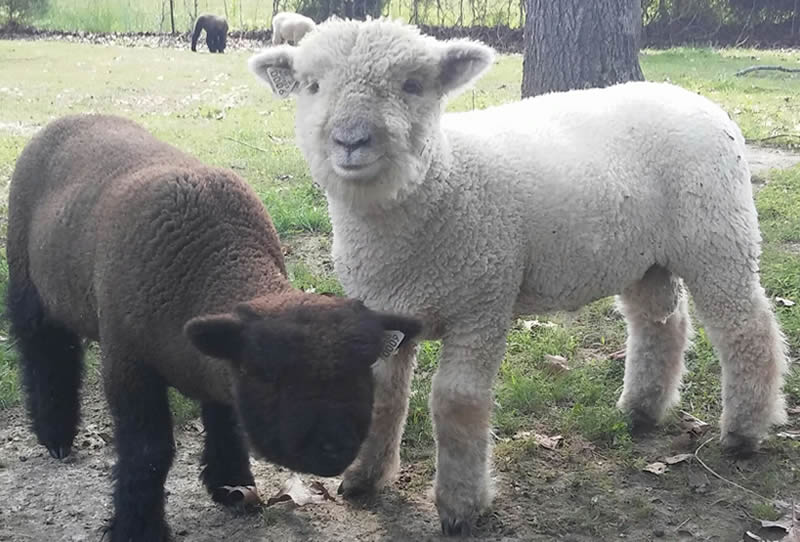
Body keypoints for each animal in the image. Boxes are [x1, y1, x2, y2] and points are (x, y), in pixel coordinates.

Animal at [7, 112, 424, 540]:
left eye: (364, 369)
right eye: (267, 374)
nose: (334, 447)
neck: (211, 263)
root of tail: (71, 119)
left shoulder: (219, 365)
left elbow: (227, 424)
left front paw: (231, 486)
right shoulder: (128, 364)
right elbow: (148, 451)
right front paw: (138, 525)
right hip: (26, 280)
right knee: (44, 352)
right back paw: (55, 434)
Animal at [247, 18, 792, 540]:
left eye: (412, 84)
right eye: (312, 85)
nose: (350, 140)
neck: (442, 181)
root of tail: (693, 97)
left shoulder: (483, 303)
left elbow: (457, 403)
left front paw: (460, 507)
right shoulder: (383, 310)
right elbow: (383, 395)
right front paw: (362, 479)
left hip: (717, 236)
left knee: (747, 329)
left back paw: (744, 433)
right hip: (645, 257)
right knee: (661, 323)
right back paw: (640, 411)